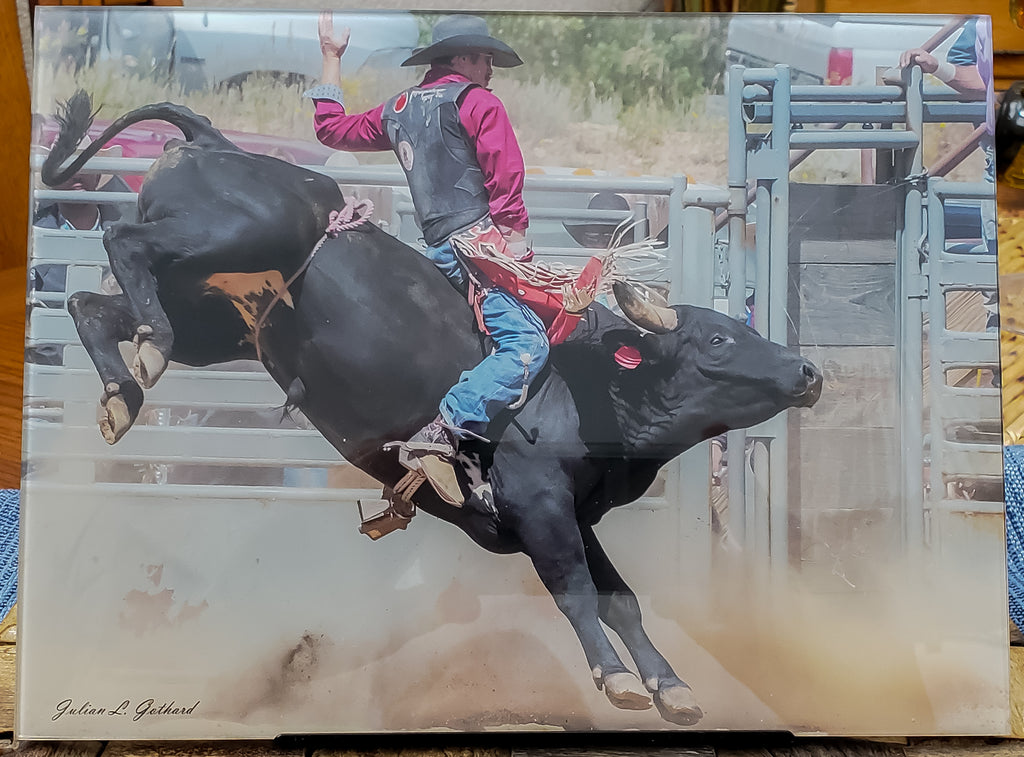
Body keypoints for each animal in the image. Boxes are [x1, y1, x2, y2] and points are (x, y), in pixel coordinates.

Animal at [44, 90, 823, 729]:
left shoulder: (574, 514)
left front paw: (673, 687)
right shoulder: (539, 504)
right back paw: (147, 348)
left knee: (92, 303)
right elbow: (575, 590)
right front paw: (616, 680)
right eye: (719, 338)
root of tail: (215, 142)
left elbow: (621, 597)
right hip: (228, 238)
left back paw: (126, 390)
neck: (581, 386)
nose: (807, 372)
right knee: (121, 241)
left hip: (217, 314)